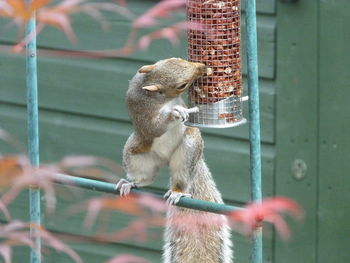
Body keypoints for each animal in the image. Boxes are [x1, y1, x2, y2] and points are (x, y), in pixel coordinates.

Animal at [116, 58, 234, 263]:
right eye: (181, 85)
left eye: (178, 59)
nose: (202, 67)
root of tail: (166, 159)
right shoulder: (144, 117)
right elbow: (155, 127)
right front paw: (175, 113)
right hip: (135, 154)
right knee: (147, 178)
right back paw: (131, 184)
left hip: (188, 148)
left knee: (181, 178)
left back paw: (177, 192)